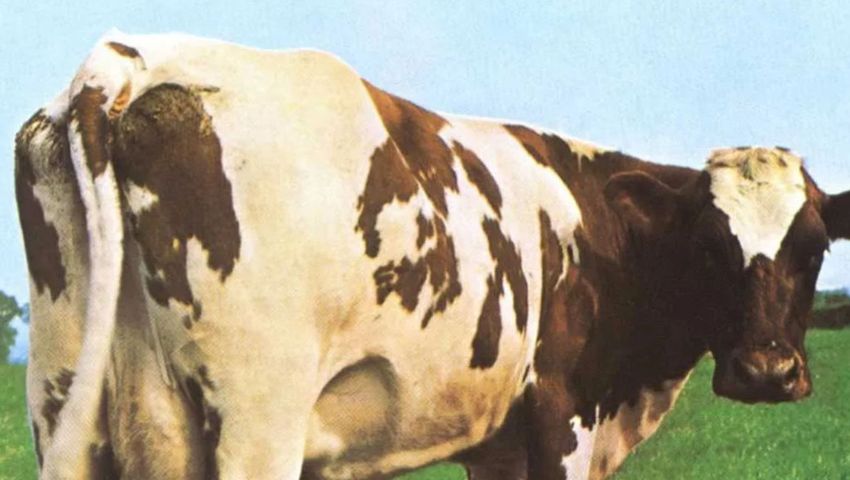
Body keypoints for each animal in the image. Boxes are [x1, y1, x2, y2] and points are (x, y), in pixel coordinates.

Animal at [15, 31, 850, 480]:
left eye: (813, 247)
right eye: (711, 248)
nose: (767, 372)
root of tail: (130, 61)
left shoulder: (498, 443)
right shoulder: (563, 417)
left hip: (64, 401)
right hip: (256, 419)